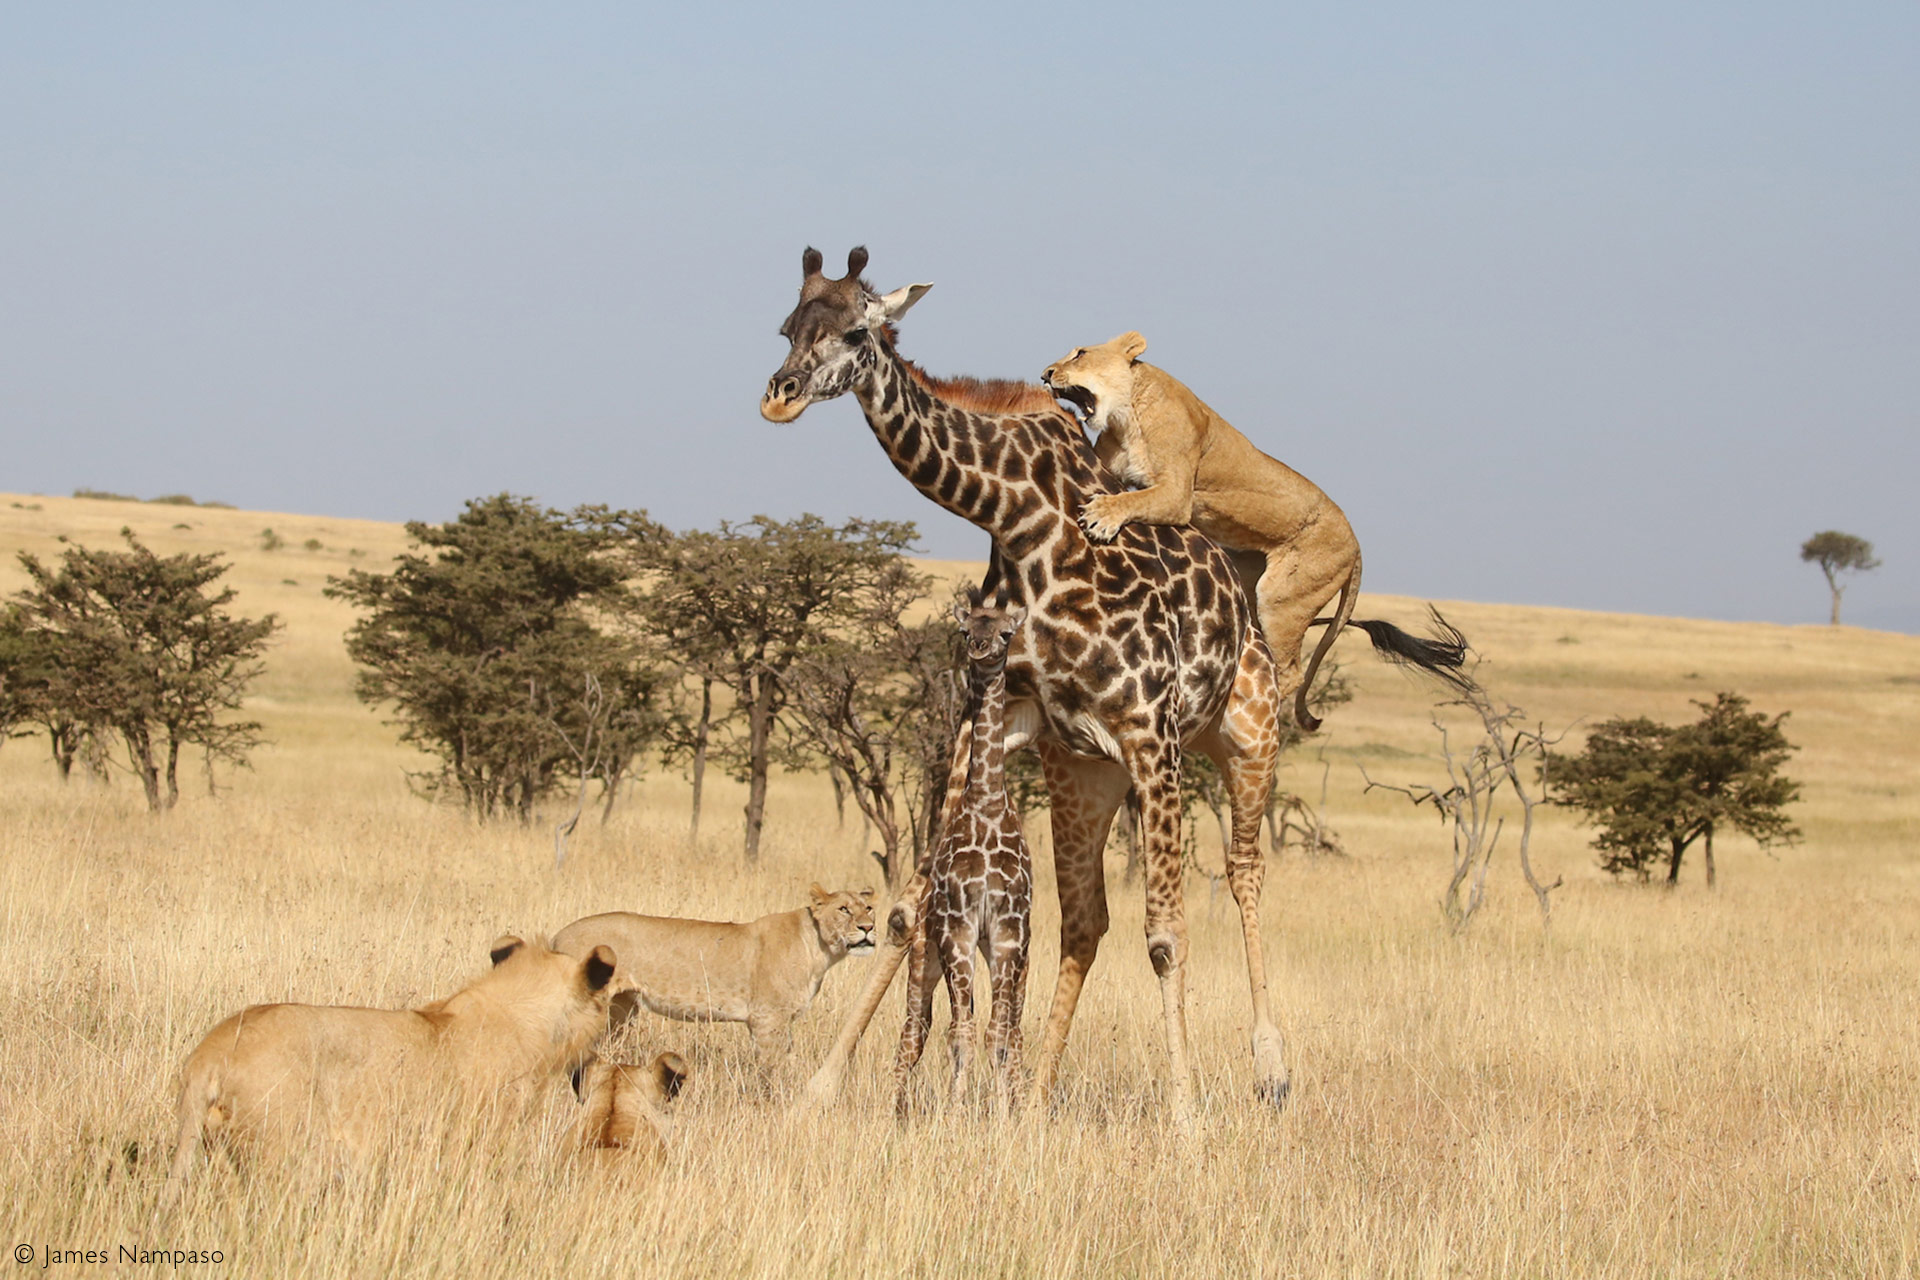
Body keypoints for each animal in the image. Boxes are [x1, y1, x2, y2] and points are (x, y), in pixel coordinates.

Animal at [549, 882, 879, 1074]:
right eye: (843, 909)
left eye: (869, 908)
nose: (868, 928)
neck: (819, 949)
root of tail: (558, 935)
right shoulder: (768, 1018)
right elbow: (774, 1066)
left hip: (619, 1010)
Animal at [894, 587, 1036, 1113]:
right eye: (964, 629)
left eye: (1006, 632)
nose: (980, 649)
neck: (988, 805)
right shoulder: (959, 929)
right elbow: (962, 1033)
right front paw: (957, 1112)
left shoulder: (1008, 932)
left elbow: (999, 1033)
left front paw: (1003, 1112)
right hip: (924, 956)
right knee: (914, 1032)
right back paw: (897, 1109)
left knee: (1009, 1029)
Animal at [1044, 330, 1459, 729]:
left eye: (1079, 353)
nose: (1046, 373)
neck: (1127, 414)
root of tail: (1358, 548)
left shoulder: (1177, 496)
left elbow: (1133, 500)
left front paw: (1101, 516)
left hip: (1282, 597)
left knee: (1289, 673)